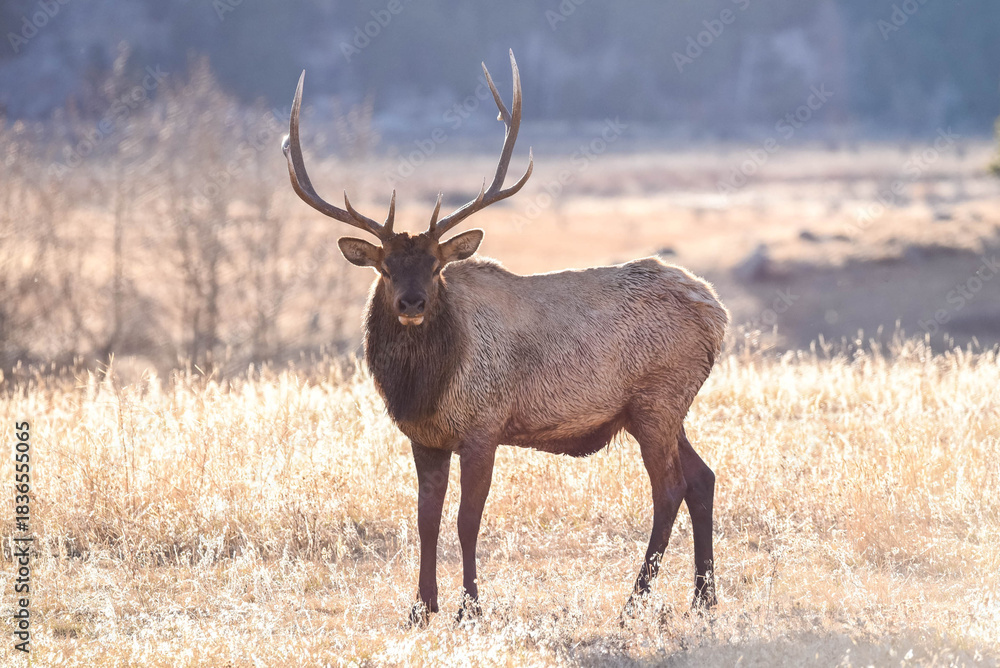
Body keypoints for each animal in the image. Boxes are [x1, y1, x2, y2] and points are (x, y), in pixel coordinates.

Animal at [281, 50, 729, 625]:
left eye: (436, 266)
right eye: (385, 267)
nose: (411, 304)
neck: (425, 388)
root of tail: (717, 313)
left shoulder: (484, 425)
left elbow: (467, 520)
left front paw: (469, 606)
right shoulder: (424, 439)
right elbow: (426, 520)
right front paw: (421, 607)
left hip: (658, 398)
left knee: (669, 489)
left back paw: (635, 601)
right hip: (659, 409)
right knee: (703, 478)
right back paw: (704, 596)